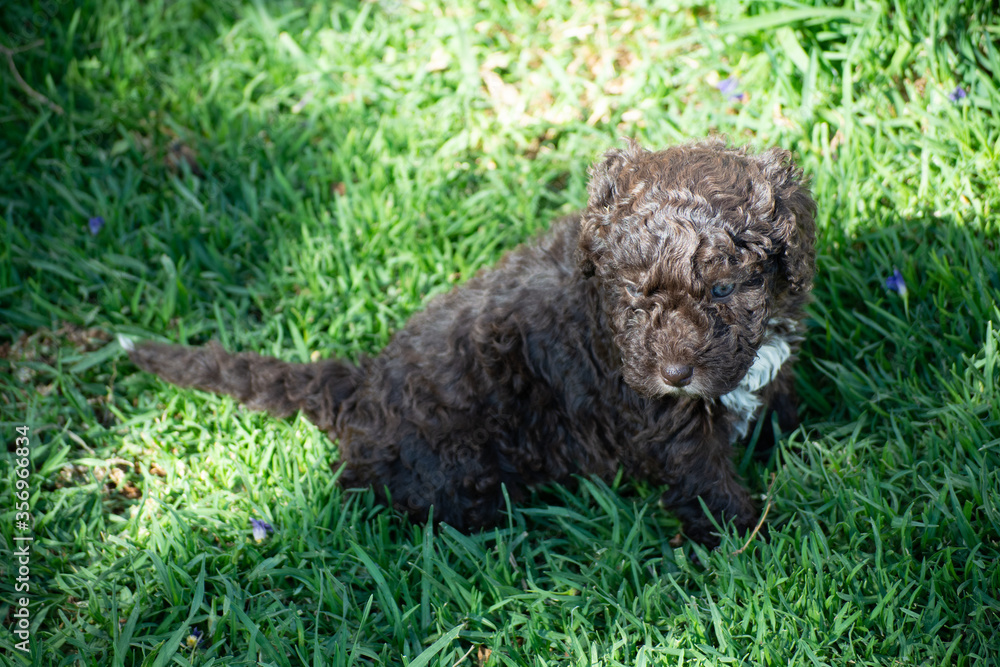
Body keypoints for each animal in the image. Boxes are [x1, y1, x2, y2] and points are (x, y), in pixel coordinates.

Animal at [125, 138, 816, 544]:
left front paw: (814, 445)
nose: (674, 375)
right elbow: (705, 480)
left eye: (723, 290)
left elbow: (782, 402)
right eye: (633, 291)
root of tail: (361, 384)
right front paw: (756, 540)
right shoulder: (662, 422)